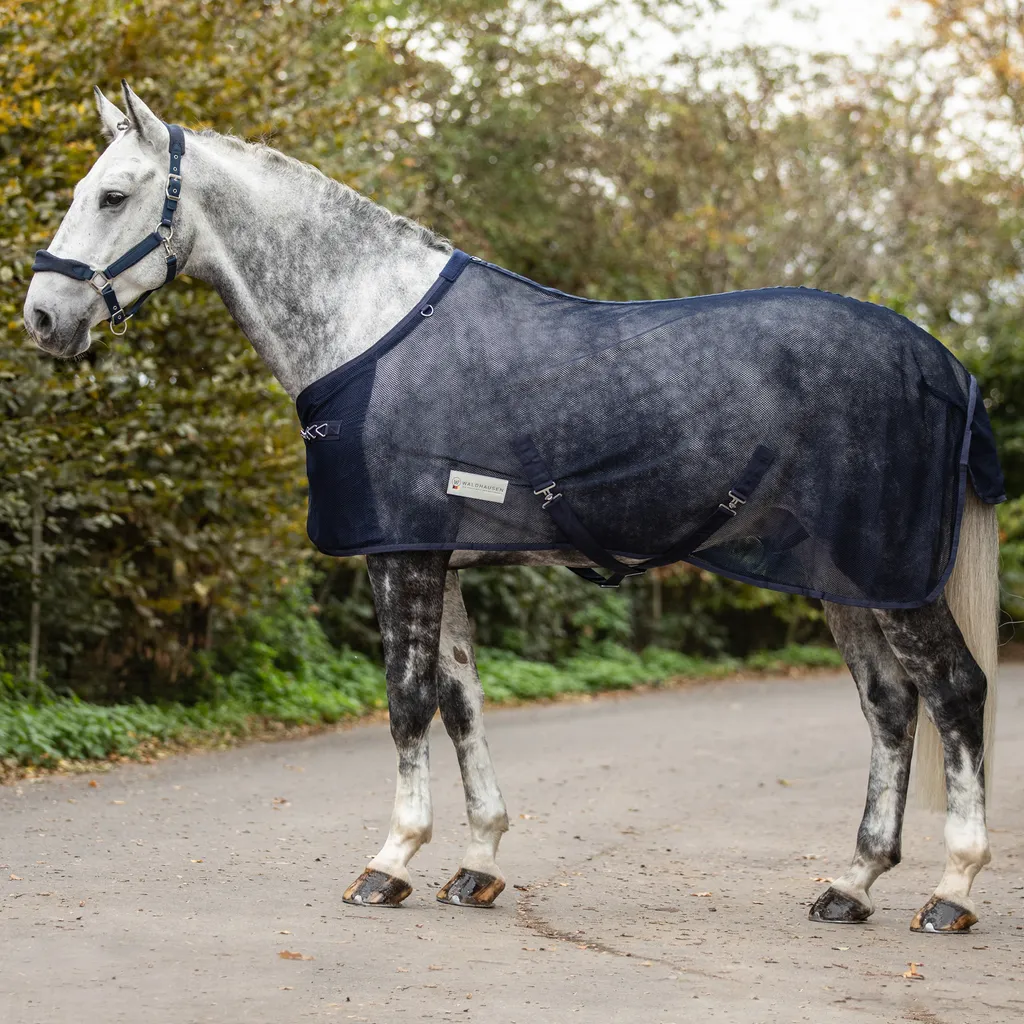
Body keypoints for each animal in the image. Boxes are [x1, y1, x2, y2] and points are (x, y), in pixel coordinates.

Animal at [23, 82, 1000, 934]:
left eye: (113, 194)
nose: (41, 318)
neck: (369, 323)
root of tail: (942, 363)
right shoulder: (437, 553)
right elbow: (461, 701)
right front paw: (477, 862)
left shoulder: (401, 556)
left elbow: (407, 699)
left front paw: (390, 862)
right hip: (850, 581)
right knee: (889, 704)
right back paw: (852, 883)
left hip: (895, 575)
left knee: (954, 692)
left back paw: (951, 890)